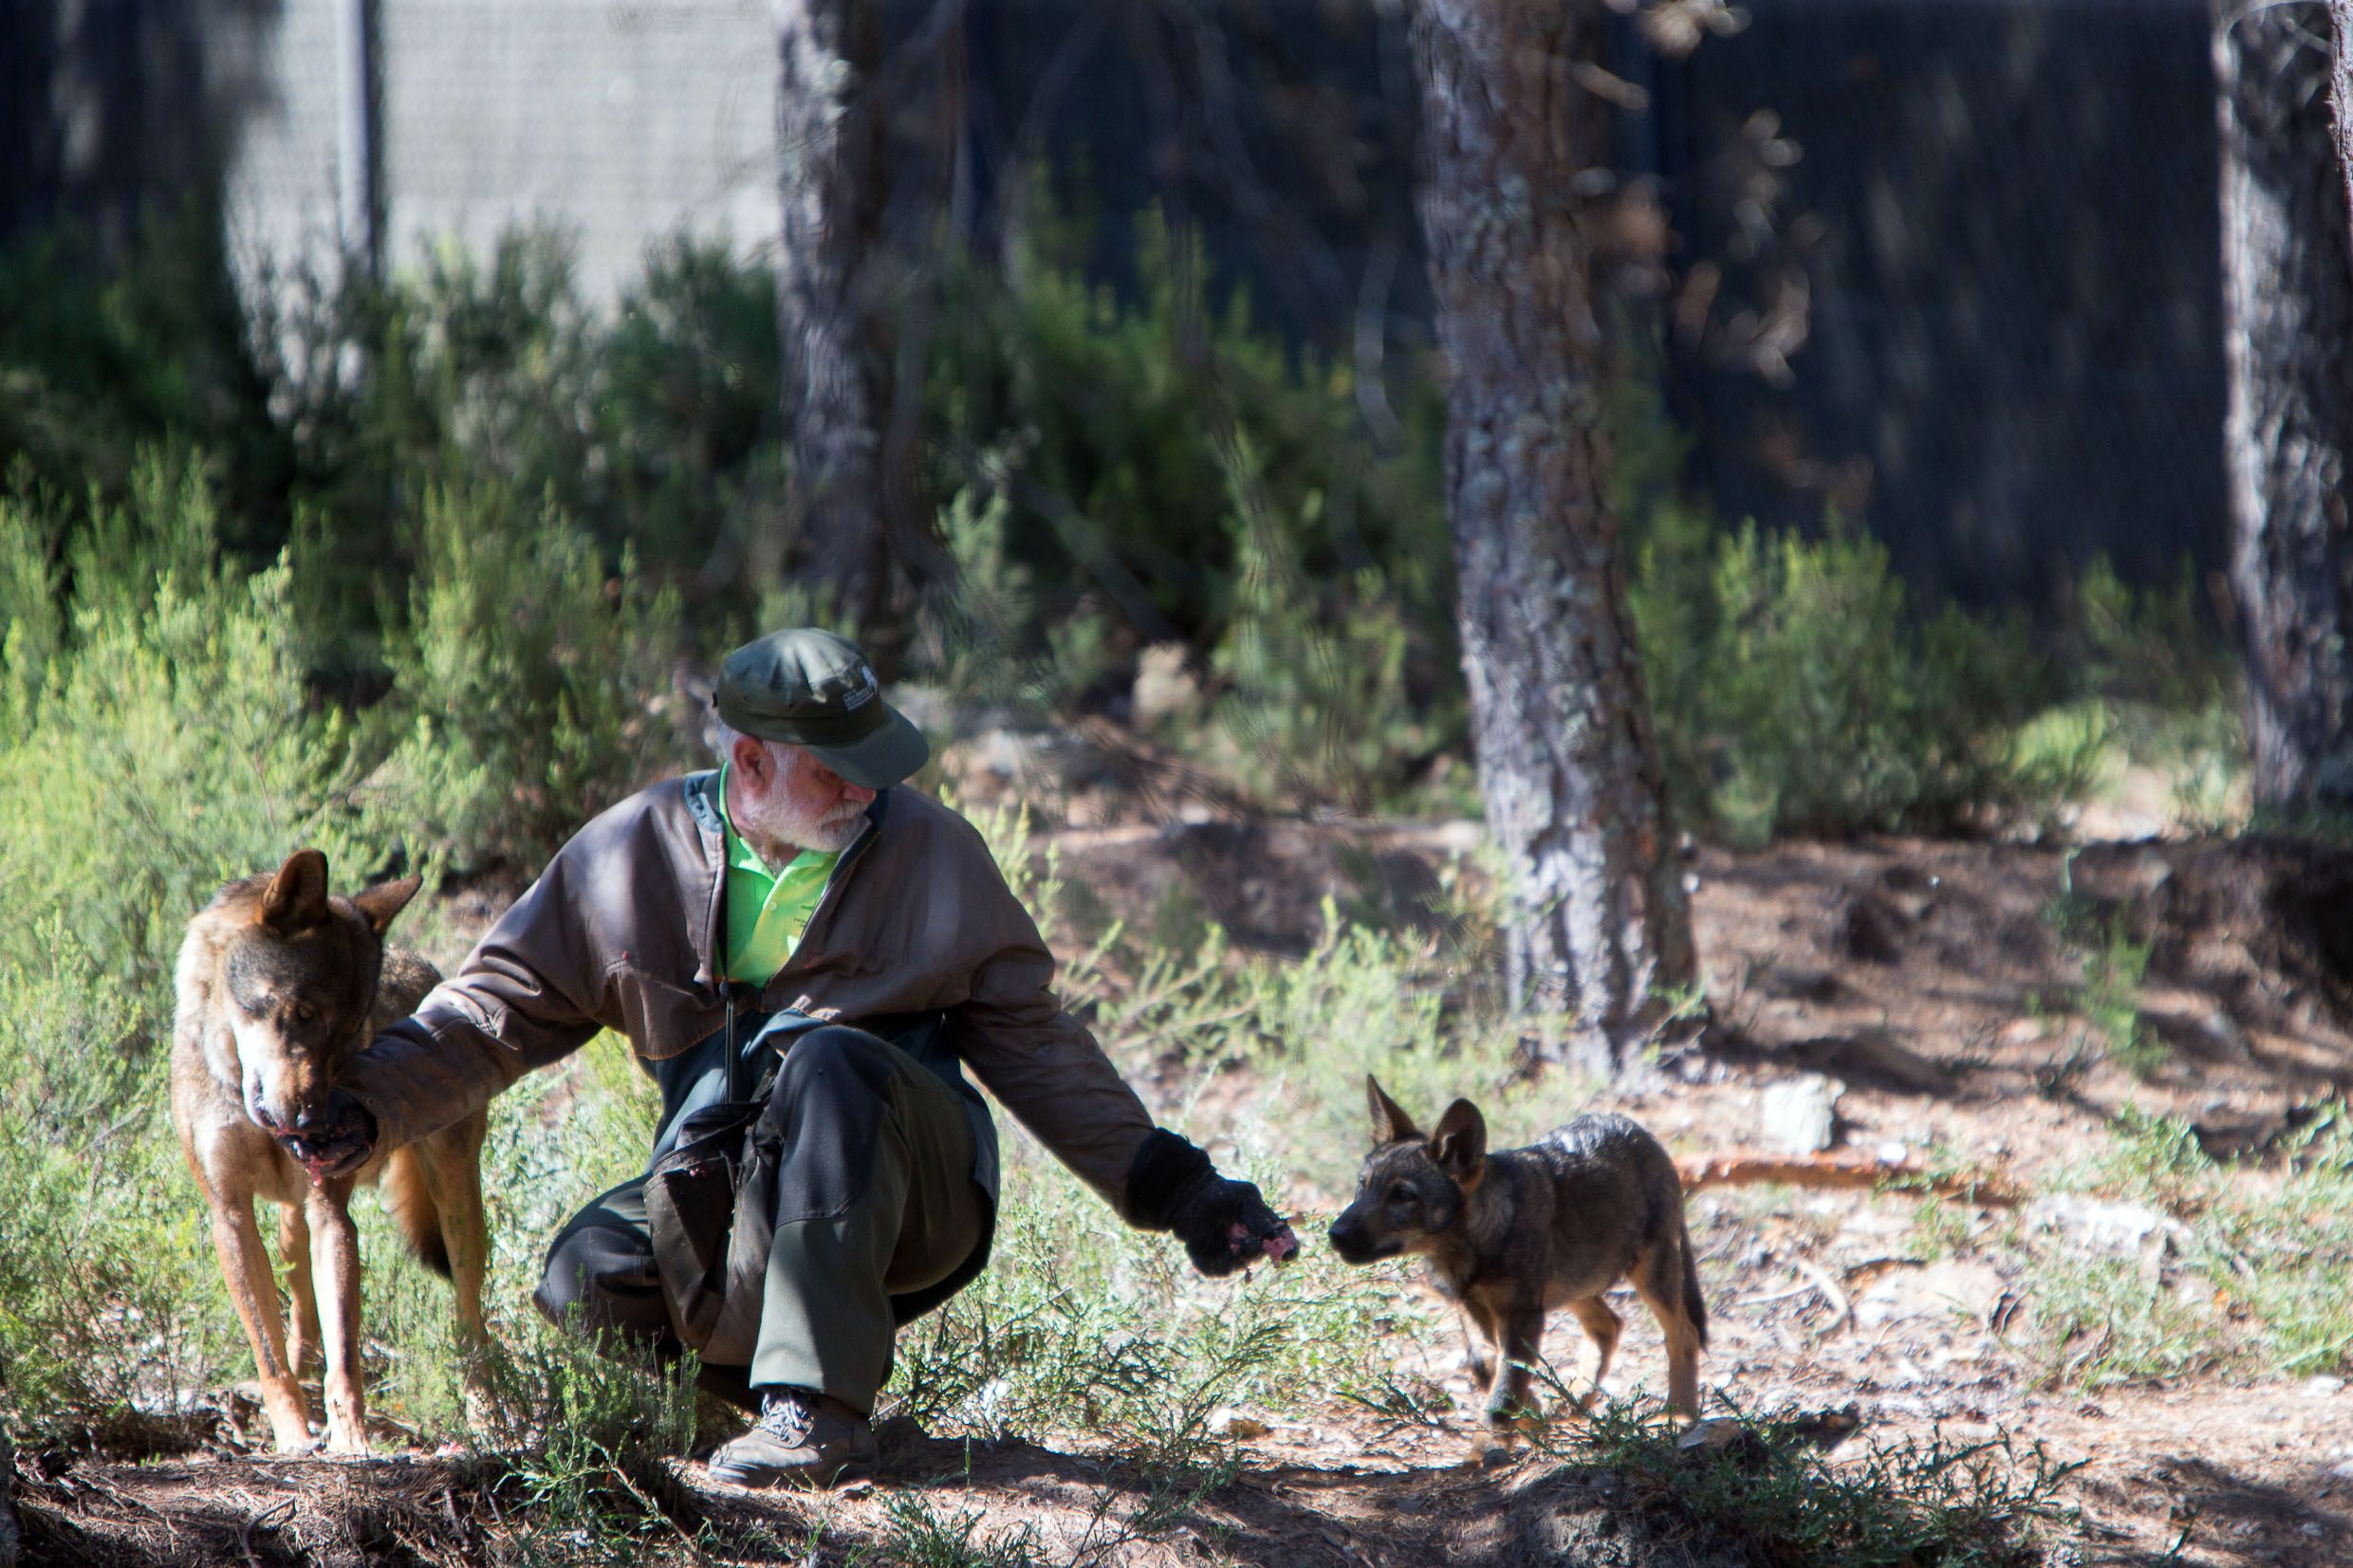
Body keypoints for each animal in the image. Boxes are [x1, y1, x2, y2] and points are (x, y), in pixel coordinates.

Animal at [173, 851, 491, 1457]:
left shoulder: (331, 1214)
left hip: (457, 1207)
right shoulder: (230, 1214)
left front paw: (352, 1443)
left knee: (470, 1322)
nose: (315, 1127)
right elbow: (271, 1354)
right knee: (300, 1317)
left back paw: (486, 1413)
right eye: (300, 1012)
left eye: (347, 1040)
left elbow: (346, 1356)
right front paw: (295, 1438)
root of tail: (429, 968)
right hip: (287, 1224)